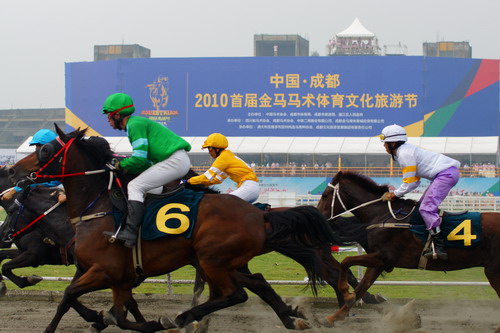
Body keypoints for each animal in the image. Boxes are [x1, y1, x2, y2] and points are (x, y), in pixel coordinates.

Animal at [9, 126, 340, 330]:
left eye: (45, 150)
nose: (12, 169)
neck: (97, 206)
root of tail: (259, 215)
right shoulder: (117, 277)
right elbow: (115, 312)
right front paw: (118, 321)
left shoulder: (104, 271)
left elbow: (69, 297)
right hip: (217, 262)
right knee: (254, 283)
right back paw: (290, 317)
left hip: (213, 259)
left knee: (236, 294)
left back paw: (182, 319)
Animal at [316, 171, 500, 324]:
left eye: (324, 195)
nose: (317, 217)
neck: (384, 216)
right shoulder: (379, 262)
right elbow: (362, 287)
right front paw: (333, 317)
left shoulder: (383, 257)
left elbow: (346, 261)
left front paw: (345, 290)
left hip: (493, 271)